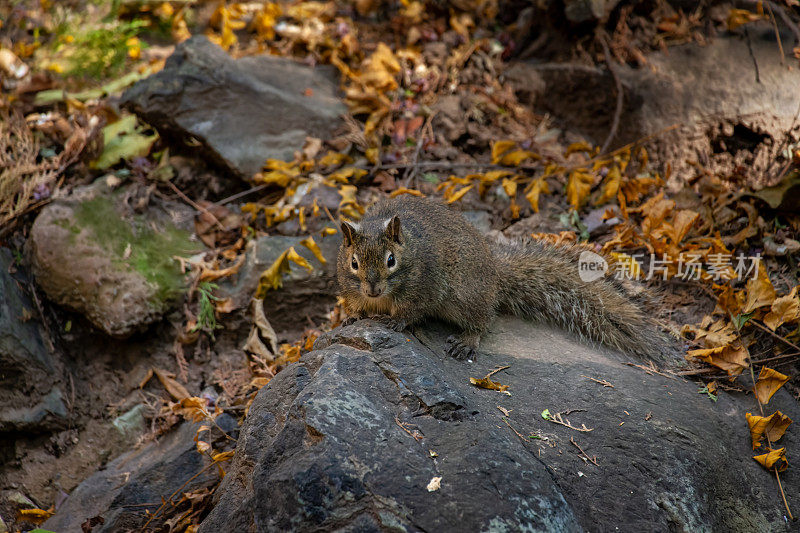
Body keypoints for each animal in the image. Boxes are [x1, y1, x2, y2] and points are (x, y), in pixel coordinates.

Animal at [338, 195, 668, 362]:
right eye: (353, 263)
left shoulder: (425, 287)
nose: (372, 288)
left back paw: (467, 340)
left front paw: (397, 321)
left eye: (391, 260)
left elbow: (413, 310)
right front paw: (351, 317)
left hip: (466, 295)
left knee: (483, 320)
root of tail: (495, 274)